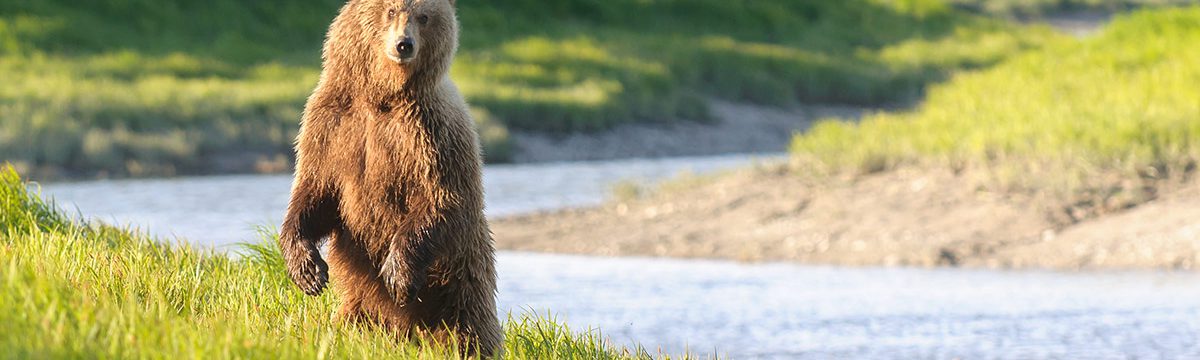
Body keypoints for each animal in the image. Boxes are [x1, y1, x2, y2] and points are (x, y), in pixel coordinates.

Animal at [277, 0, 501, 355]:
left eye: (424, 17)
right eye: (391, 11)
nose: (403, 45)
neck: (382, 96)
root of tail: (411, 331)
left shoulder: (430, 134)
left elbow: (440, 197)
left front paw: (398, 274)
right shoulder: (331, 125)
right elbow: (315, 192)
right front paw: (308, 270)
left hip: (462, 274)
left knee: (469, 327)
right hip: (363, 299)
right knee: (351, 322)